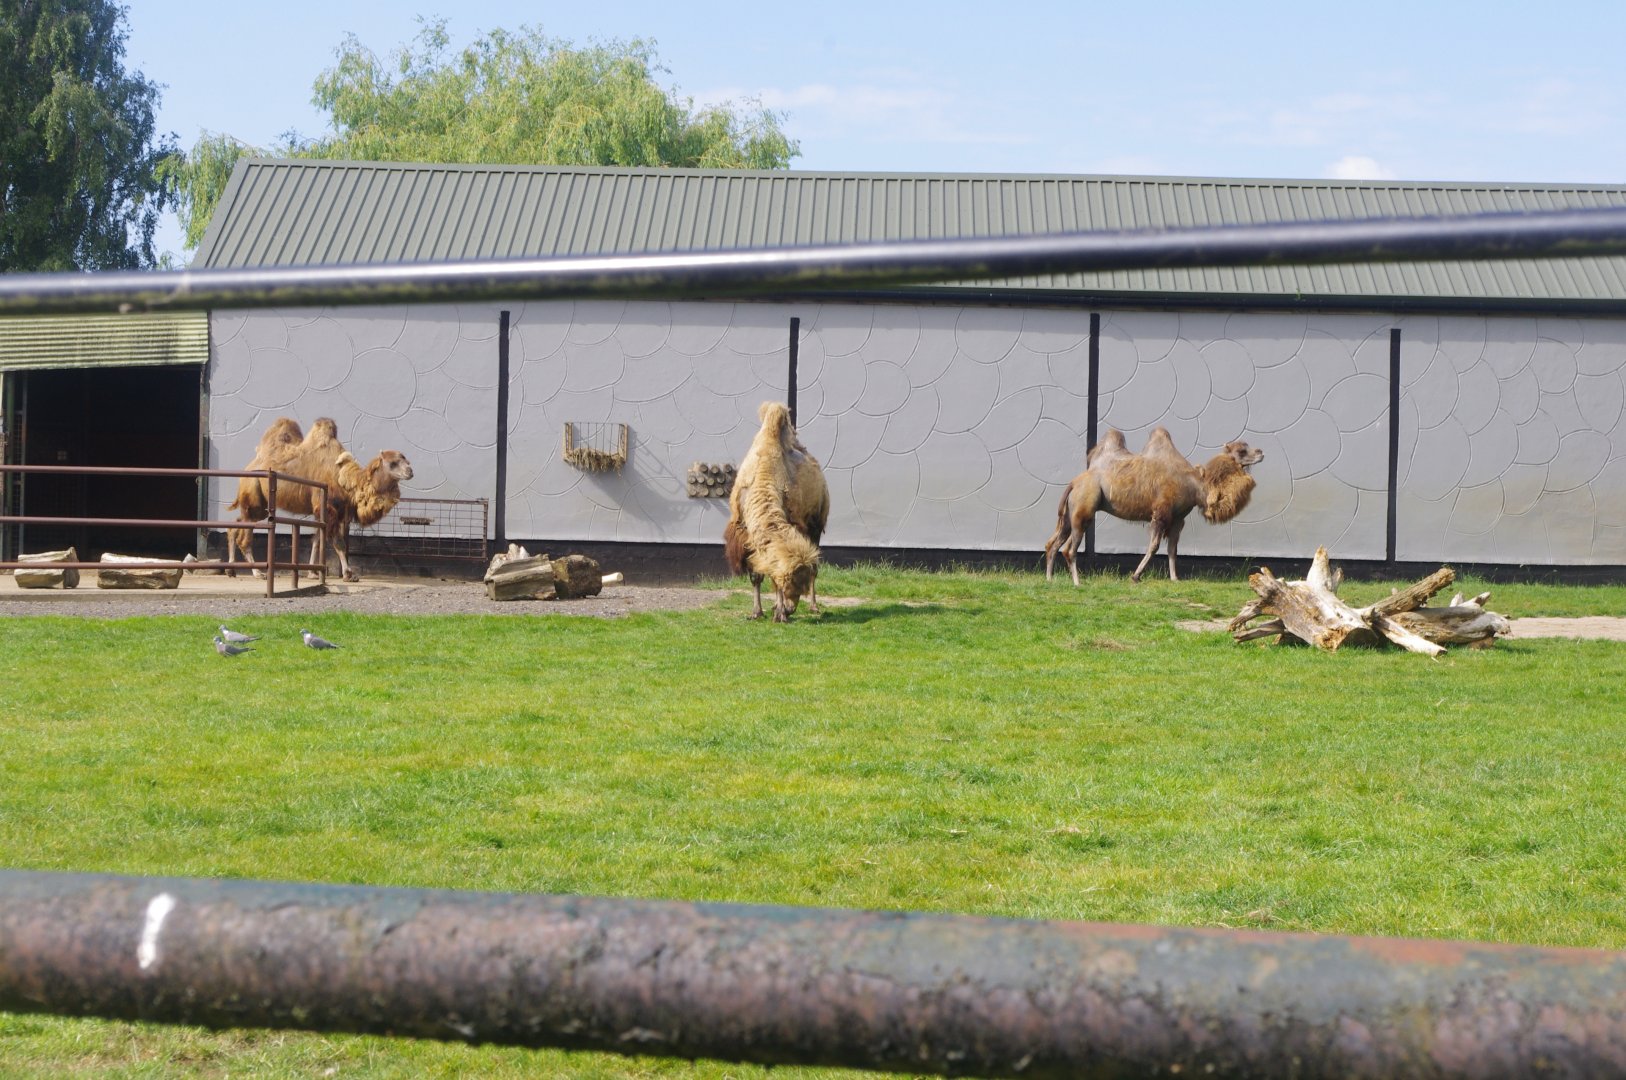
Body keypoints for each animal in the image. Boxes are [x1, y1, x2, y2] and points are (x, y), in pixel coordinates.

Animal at [225, 417, 414, 582]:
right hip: (253, 492)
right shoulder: (329, 507)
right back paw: (257, 573)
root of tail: (248, 468)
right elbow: (338, 543)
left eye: (406, 459)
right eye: (393, 463)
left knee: (236, 525)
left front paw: (312, 573)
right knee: (244, 536)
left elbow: (316, 540)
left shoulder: (330, 511)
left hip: (260, 505)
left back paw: (231, 570)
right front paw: (349, 574)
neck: (345, 480)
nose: (410, 472)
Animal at [723, 401, 830, 622]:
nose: (791, 608)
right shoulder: (746, 535)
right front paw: (758, 611)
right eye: (793, 586)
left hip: (816, 524)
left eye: (799, 589)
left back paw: (814, 606)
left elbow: (773, 575)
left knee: (816, 566)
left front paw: (780, 613)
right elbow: (757, 574)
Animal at [1043, 426, 1263, 585]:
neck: (1195, 485)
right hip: (1084, 509)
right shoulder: (1161, 512)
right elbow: (1155, 545)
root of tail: (1074, 482)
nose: (1261, 451)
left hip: (1070, 514)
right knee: (1069, 549)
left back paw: (1050, 579)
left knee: (1053, 543)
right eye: (1241, 450)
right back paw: (1077, 582)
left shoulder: (1178, 518)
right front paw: (1135, 576)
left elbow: (1173, 549)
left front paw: (1175, 578)